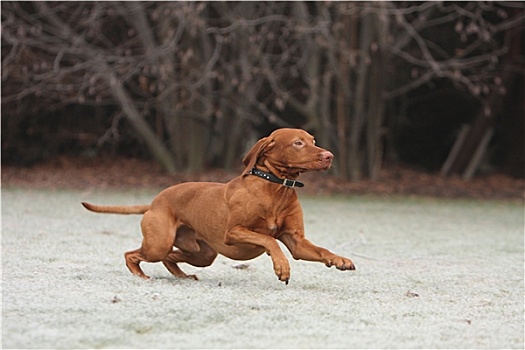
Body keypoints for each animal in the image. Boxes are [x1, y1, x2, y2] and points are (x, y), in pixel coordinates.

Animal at [83, 129, 352, 284]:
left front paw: (339, 259)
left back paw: (182, 276)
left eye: (313, 141)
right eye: (298, 143)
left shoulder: (297, 242)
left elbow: (321, 250)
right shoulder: (233, 232)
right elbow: (269, 240)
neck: (275, 188)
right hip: (159, 243)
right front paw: (281, 266)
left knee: (170, 257)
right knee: (132, 254)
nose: (329, 156)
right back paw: (140, 275)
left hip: (202, 253)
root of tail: (154, 202)